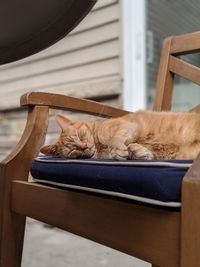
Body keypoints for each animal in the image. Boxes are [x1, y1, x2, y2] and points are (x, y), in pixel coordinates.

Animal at [39, 112, 200, 160]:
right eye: (73, 150)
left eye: (79, 136)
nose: (84, 147)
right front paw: (135, 151)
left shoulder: (128, 125)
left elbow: (115, 139)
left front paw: (119, 149)